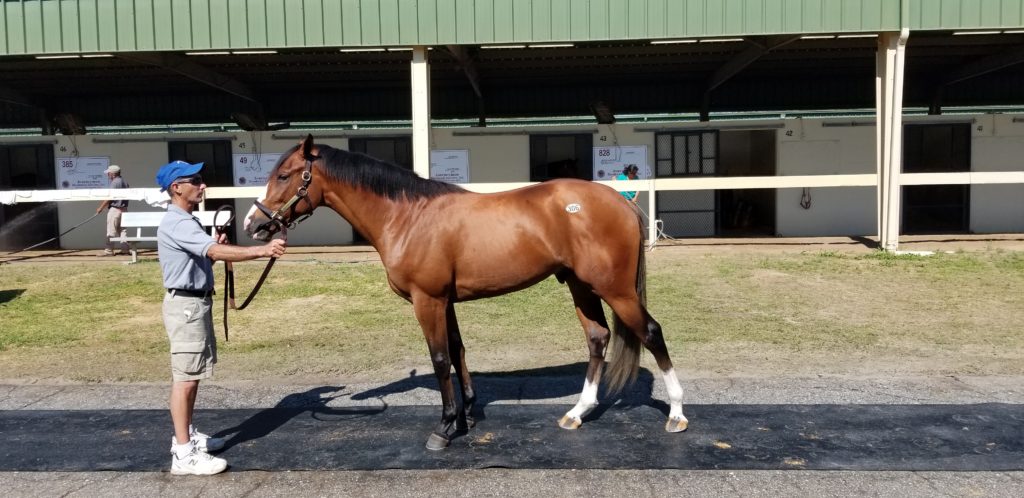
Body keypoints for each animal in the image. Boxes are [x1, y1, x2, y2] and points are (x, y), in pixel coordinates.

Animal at [241, 134, 688, 448]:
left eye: (284, 176)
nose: (253, 225)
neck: (407, 216)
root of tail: (620, 201)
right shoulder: (446, 302)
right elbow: (458, 352)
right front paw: (467, 415)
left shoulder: (428, 301)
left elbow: (440, 359)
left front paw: (443, 428)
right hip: (581, 285)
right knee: (598, 337)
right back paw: (577, 413)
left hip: (615, 289)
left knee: (652, 333)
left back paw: (677, 414)